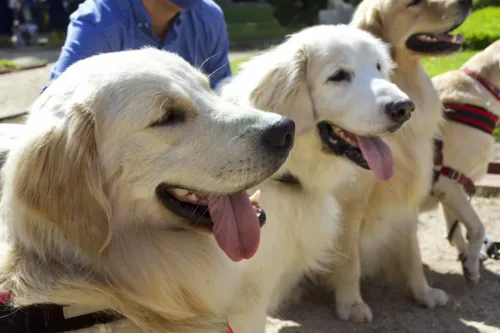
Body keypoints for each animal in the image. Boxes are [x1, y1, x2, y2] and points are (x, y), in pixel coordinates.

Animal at [320, 0, 472, 322]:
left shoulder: (407, 199)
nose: (469, 2)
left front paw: (423, 293)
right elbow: (349, 260)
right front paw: (351, 304)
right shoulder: (350, 204)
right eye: (413, 3)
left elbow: (413, 253)